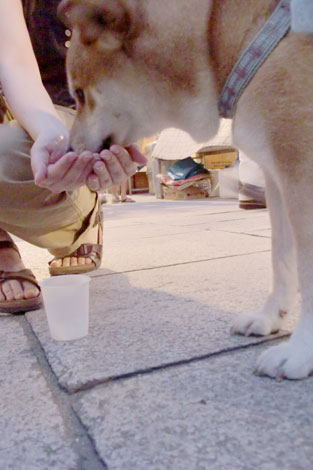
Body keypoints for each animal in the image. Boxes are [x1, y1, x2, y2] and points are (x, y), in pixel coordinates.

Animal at [58, 0, 312, 380]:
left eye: (78, 94)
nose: (69, 150)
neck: (223, 41)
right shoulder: (277, 174)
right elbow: (281, 258)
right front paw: (270, 317)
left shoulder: (299, 173)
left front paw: (301, 350)